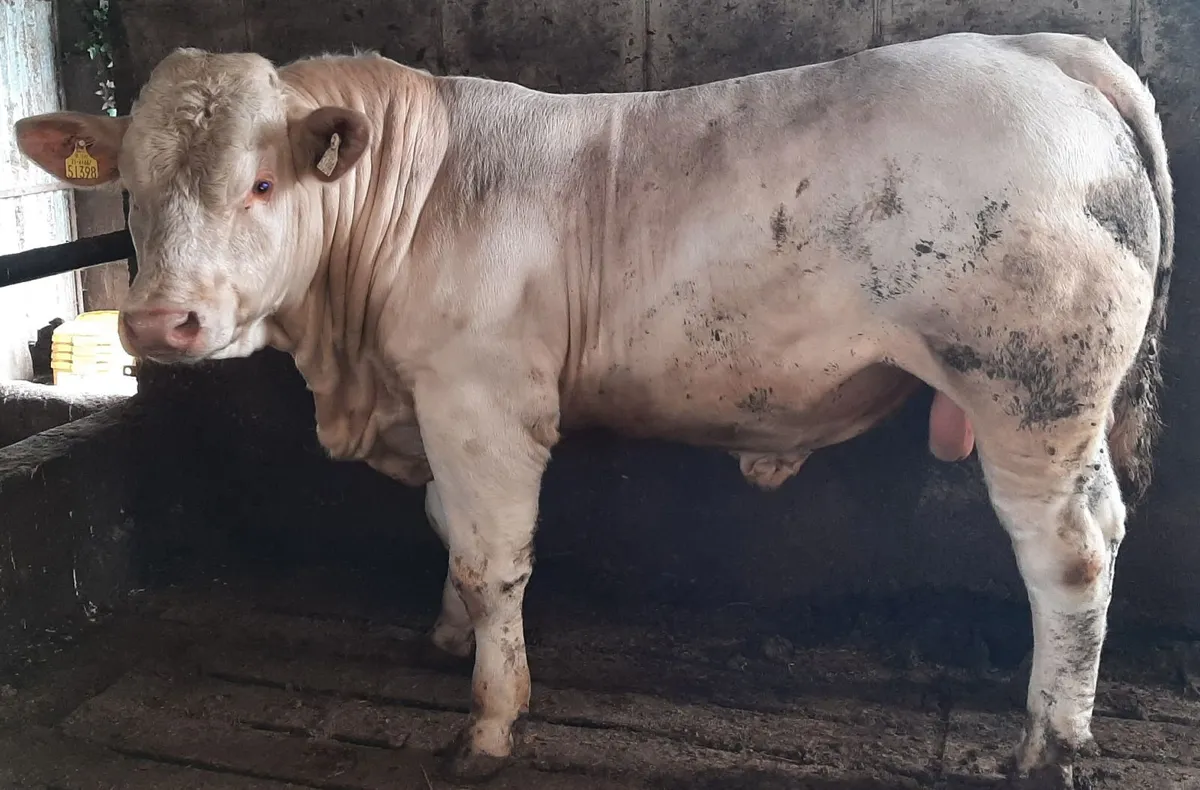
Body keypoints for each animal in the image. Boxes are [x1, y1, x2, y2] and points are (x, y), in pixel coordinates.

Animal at [15, 30, 1173, 787]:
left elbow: (493, 560)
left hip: (1031, 389)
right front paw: (447, 639)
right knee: (1105, 528)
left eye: (261, 184)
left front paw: (488, 722)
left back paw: (1050, 745)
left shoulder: (484, 400)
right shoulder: (433, 403)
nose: (161, 321)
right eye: (129, 188)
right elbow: (447, 529)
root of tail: (1043, 47)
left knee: (1069, 557)